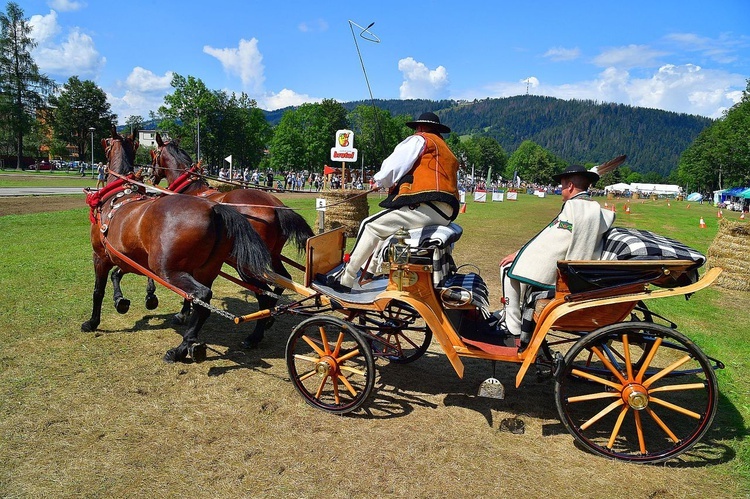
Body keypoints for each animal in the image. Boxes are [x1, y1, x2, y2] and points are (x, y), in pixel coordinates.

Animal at [83, 130, 272, 364]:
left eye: (106, 143)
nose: (151, 175)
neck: (117, 196)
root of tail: (216, 210)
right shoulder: (129, 258)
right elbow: (117, 275)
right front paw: (124, 300)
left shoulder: (100, 256)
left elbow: (98, 290)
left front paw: (93, 321)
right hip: (207, 270)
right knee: (213, 303)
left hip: (170, 270)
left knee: (203, 296)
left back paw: (180, 348)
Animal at [150, 135, 314, 350]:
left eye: (154, 153)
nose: (151, 175)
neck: (193, 191)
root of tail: (275, 207)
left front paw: (183, 314)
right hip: (272, 256)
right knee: (282, 281)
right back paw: (269, 319)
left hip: (246, 265)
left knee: (264, 294)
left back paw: (254, 336)